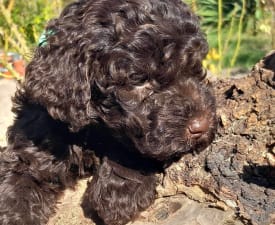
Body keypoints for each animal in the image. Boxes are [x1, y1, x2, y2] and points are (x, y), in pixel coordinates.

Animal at [0, 0, 218, 225]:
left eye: (195, 66)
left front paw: (119, 192)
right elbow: (21, 173)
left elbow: (133, 148)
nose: (201, 126)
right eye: (139, 80)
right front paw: (14, 211)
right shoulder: (37, 136)